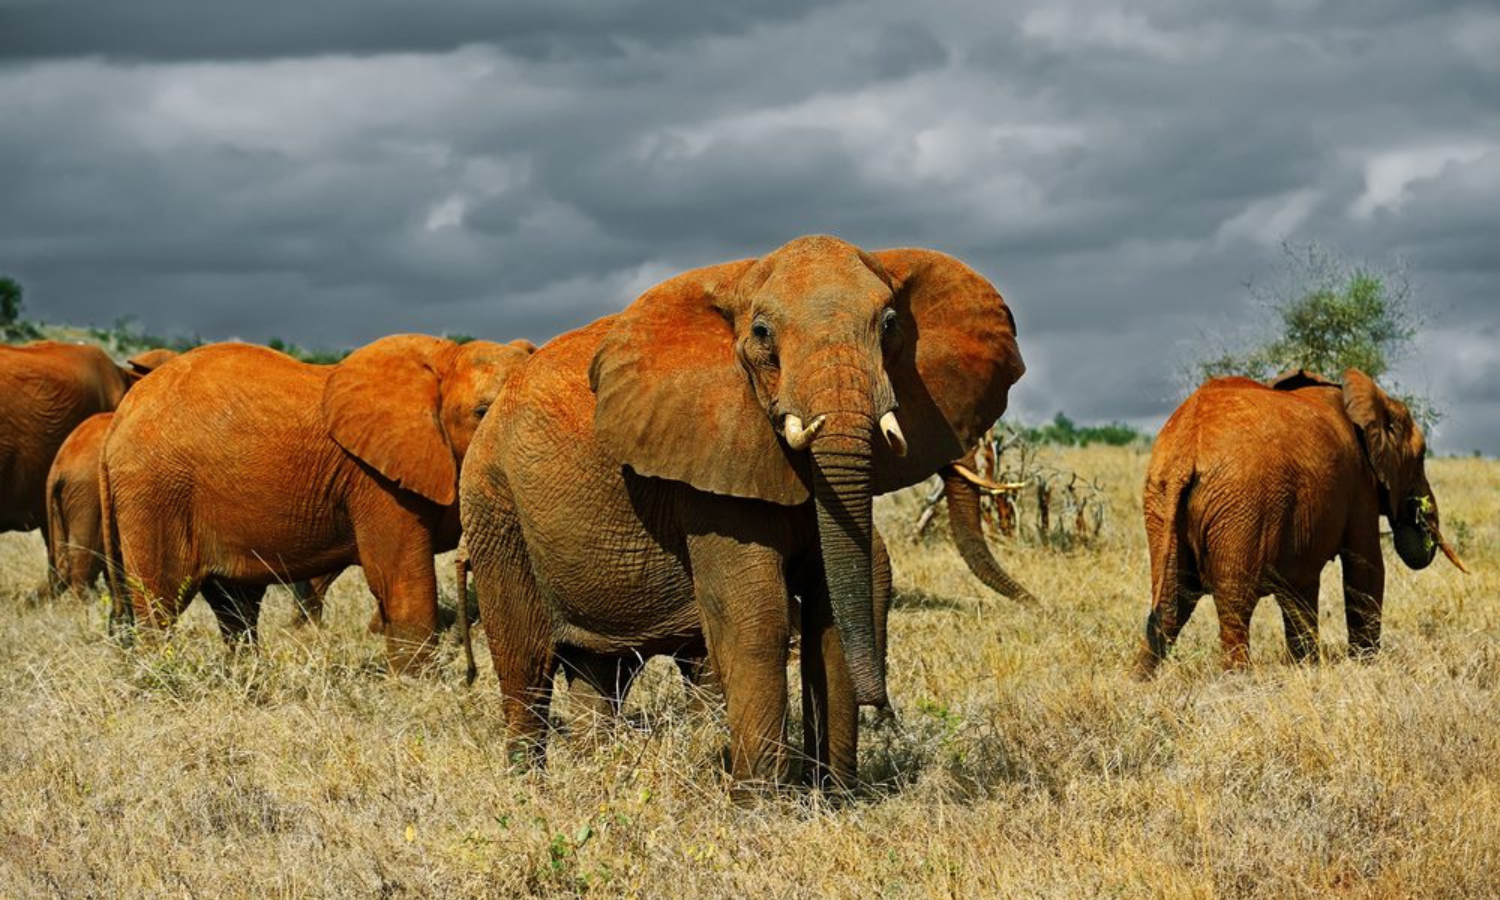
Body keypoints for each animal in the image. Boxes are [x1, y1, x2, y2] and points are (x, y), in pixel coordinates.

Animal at [101, 334, 534, 671]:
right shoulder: (374, 479)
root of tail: (119, 417)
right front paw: (418, 687)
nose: (470, 672)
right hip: (155, 491)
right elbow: (398, 579)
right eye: (481, 412)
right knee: (161, 601)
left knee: (235, 606)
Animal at [459, 235, 1031, 791]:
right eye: (761, 332)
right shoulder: (707, 461)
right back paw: (529, 788)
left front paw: (834, 798)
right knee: (525, 664)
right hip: (494, 504)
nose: (883, 708)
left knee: (600, 671)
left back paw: (600, 775)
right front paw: (760, 804)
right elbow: (756, 619)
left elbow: (834, 608)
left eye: (890, 325)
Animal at [1135, 369, 1466, 676]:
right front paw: (1365, 665)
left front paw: (1307, 668)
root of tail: (1185, 451)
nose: (1419, 511)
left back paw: (1142, 680)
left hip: (1161, 502)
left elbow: (1301, 584)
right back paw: (1239, 679)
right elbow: (1366, 566)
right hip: (1241, 506)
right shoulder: (1359, 483)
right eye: (1421, 458)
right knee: (1234, 601)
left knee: (1171, 603)